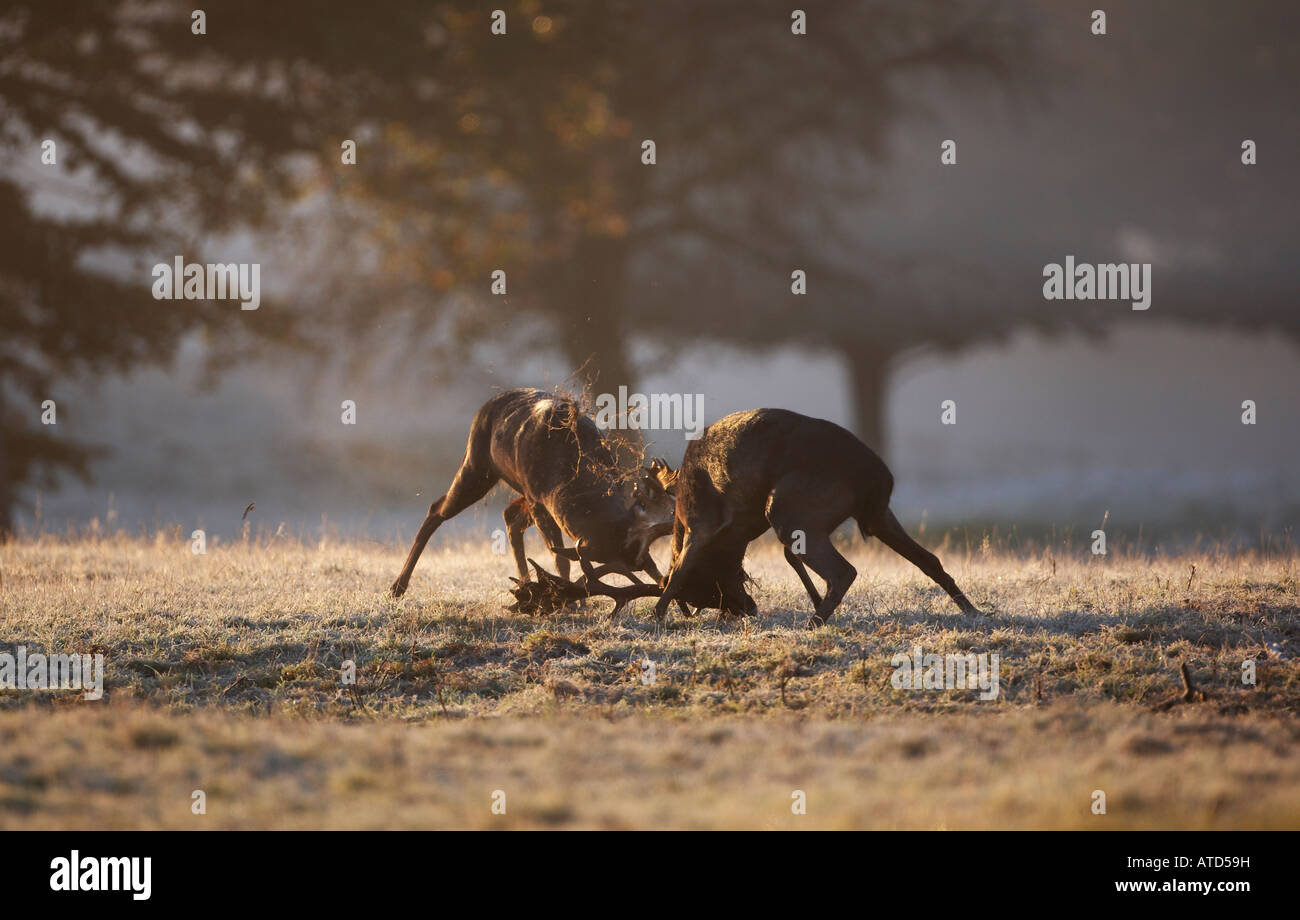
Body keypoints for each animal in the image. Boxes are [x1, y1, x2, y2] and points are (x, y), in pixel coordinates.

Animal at [387, 388, 676, 604]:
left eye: (641, 560)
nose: (663, 582)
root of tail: (487, 405)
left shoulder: (540, 497)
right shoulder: (539, 498)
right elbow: (559, 556)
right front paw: (573, 602)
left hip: (515, 488)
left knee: (510, 515)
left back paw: (525, 584)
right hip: (477, 464)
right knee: (437, 508)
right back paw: (397, 587)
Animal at [648, 408, 980, 626]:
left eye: (701, 592)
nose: (744, 609)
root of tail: (876, 479)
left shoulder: (702, 521)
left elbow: (679, 567)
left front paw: (657, 615)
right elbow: (789, 556)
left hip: (787, 505)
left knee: (844, 571)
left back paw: (814, 623)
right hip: (875, 515)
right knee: (929, 559)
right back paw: (972, 610)